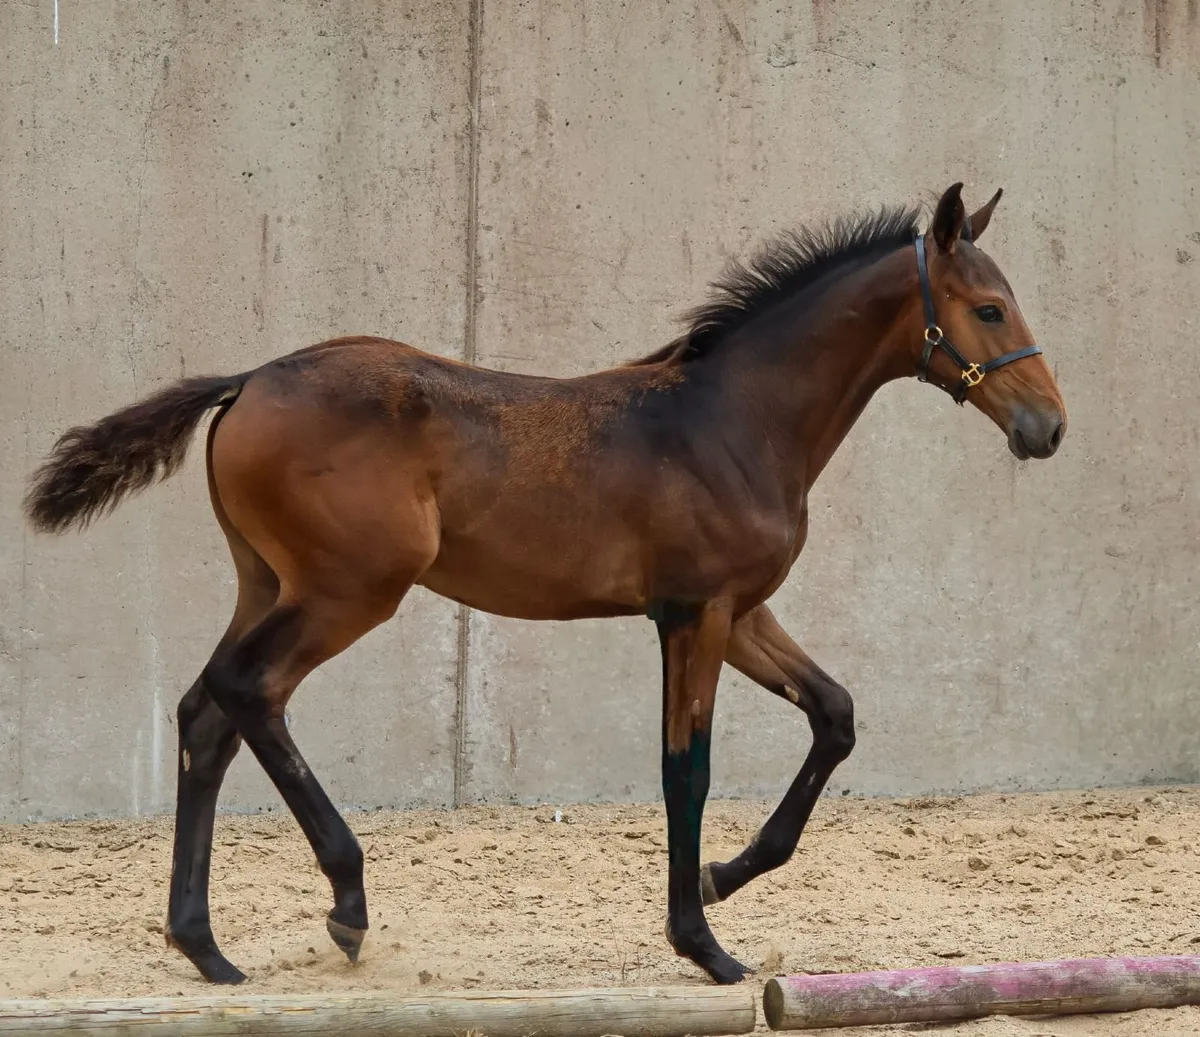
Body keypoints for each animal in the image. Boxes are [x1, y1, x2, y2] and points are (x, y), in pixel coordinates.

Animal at [23, 182, 1067, 986]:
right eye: (988, 309)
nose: (1049, 428)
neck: (731, 419)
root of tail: (246, 380)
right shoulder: (694, 612)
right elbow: (685, 768)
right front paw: (704, 945)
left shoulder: (742, 610)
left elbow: (835, 714)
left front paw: (725, 877)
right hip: (349, 590)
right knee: (249, 691)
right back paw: (346, 901)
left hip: (266, 582)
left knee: (207, 712)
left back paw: (204, 947)